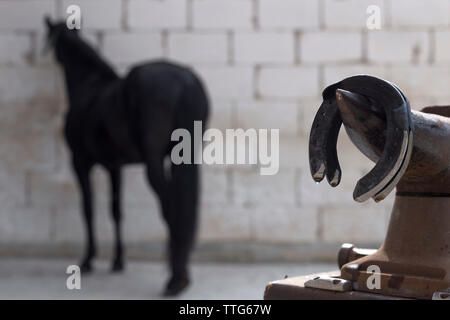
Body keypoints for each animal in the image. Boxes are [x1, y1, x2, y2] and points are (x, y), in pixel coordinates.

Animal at [44, 18, 209, 298]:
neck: (88, 85)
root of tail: (185, 80)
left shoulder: (80, 163)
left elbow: (88, 209)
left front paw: (88, 260)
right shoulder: (115, 167)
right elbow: (116, 210)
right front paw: (118, 261)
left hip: (153, 164)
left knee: (171, 208)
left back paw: (175, 279)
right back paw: (180, 274)